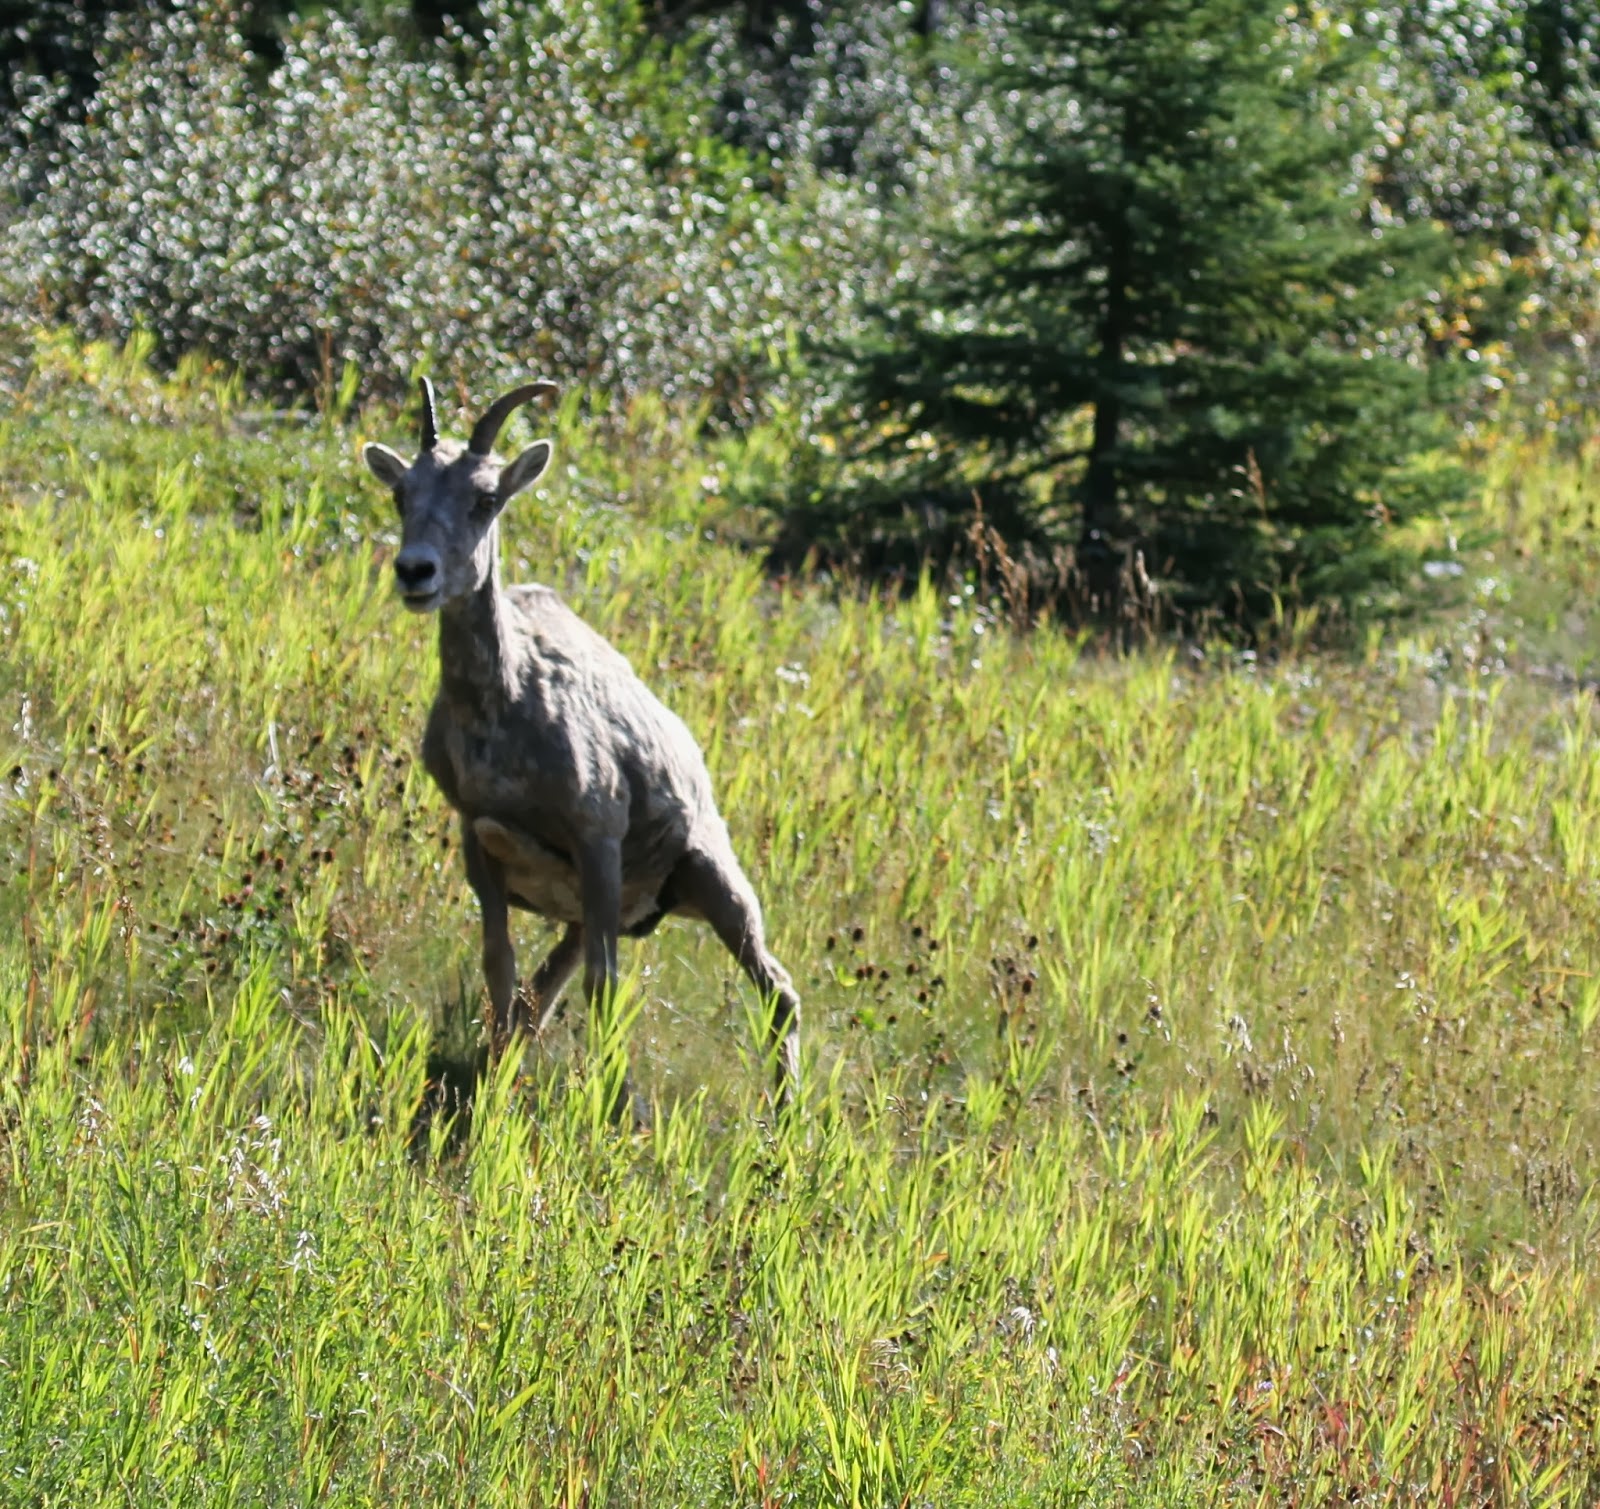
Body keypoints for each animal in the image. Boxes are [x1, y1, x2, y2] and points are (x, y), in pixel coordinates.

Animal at [362, 379, 801, 1111]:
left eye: (485, 499)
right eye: (402, 495)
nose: (415, 573)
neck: (504, 717)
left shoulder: (597, 841)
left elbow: (604, 989)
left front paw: (608, 1108)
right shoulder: (479, 839)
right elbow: (503, 972)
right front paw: (495, 1085)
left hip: (712, 881)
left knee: (779, 992)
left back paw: (789, 1122)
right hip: (596, 913)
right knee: (540, 996)